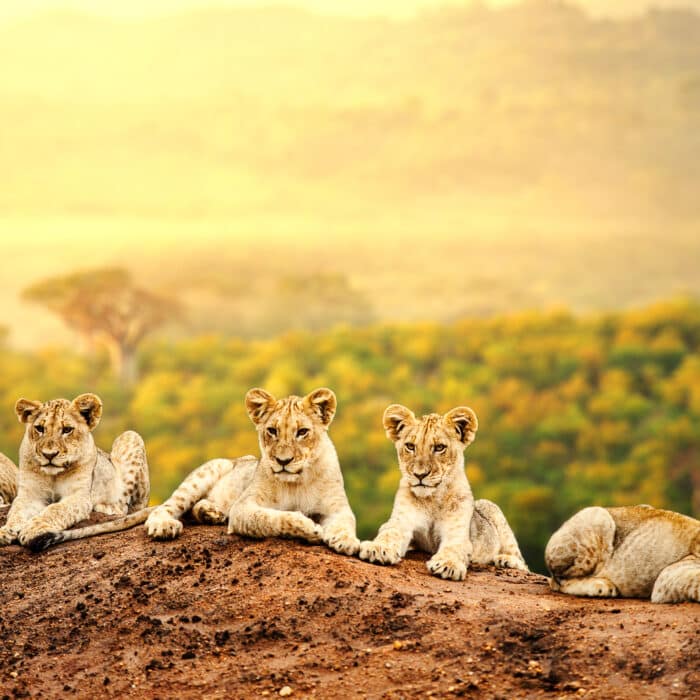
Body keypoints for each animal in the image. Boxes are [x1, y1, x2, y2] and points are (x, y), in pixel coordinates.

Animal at [0, 394, 151, 551]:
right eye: (40, 428)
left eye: (67, 429)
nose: (49, 455)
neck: (53, 475)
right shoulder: (29, 496)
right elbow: (16, 513)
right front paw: (6, 531)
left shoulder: (79, 496)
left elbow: (56, 509)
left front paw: (33, 529)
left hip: (130, 436)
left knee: (127, 507)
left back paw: (106, 507)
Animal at [145, 387, 360, 555]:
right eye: (272, 431)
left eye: (302, 432)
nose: (283, 461)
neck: (297, 482)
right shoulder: (243, 507)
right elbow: (272, 518)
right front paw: (308, 526)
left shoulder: (337, 506)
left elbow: (346, 522)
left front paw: (347, 541)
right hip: (205, 474)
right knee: (168, 506)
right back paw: (163, 525)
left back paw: (211, 513)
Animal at [359, 404, 528, 580]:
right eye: (410, 446)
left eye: (439, 448)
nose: (420, 475)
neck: (432, 499)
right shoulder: (401, 521)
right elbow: (389, 533)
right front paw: (377, 548)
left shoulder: (458, 533)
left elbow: (453, 547)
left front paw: (448, 565)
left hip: (493, 509)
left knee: (522, 562)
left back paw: (505, 560)